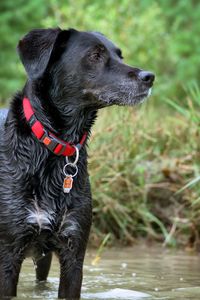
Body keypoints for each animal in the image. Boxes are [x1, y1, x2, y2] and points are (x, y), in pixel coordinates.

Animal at [0, 27, 155, 298]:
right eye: (95, 55)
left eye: (120, 55)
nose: (149, 76)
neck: (53, 147)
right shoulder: (9, 254)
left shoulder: (73, 253)